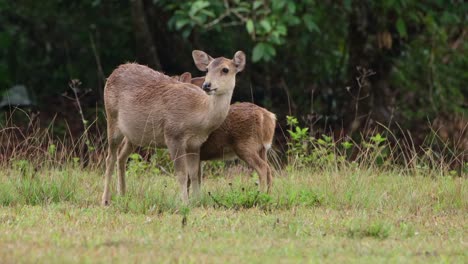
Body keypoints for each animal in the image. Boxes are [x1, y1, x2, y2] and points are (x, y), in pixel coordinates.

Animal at [102, 50, 245, 206]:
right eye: (207, 69)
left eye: (225, 69)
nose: (207, 85)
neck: (198, 115)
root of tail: (114, 72)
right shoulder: (173, 135)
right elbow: (182, 174)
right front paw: (185, 203)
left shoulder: (195, 143)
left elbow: (194, 173)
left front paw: (198, 201)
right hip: (111, 117)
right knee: (110, 158)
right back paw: (105, 199)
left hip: (134, 134)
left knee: (121, 156)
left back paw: (122, 194)